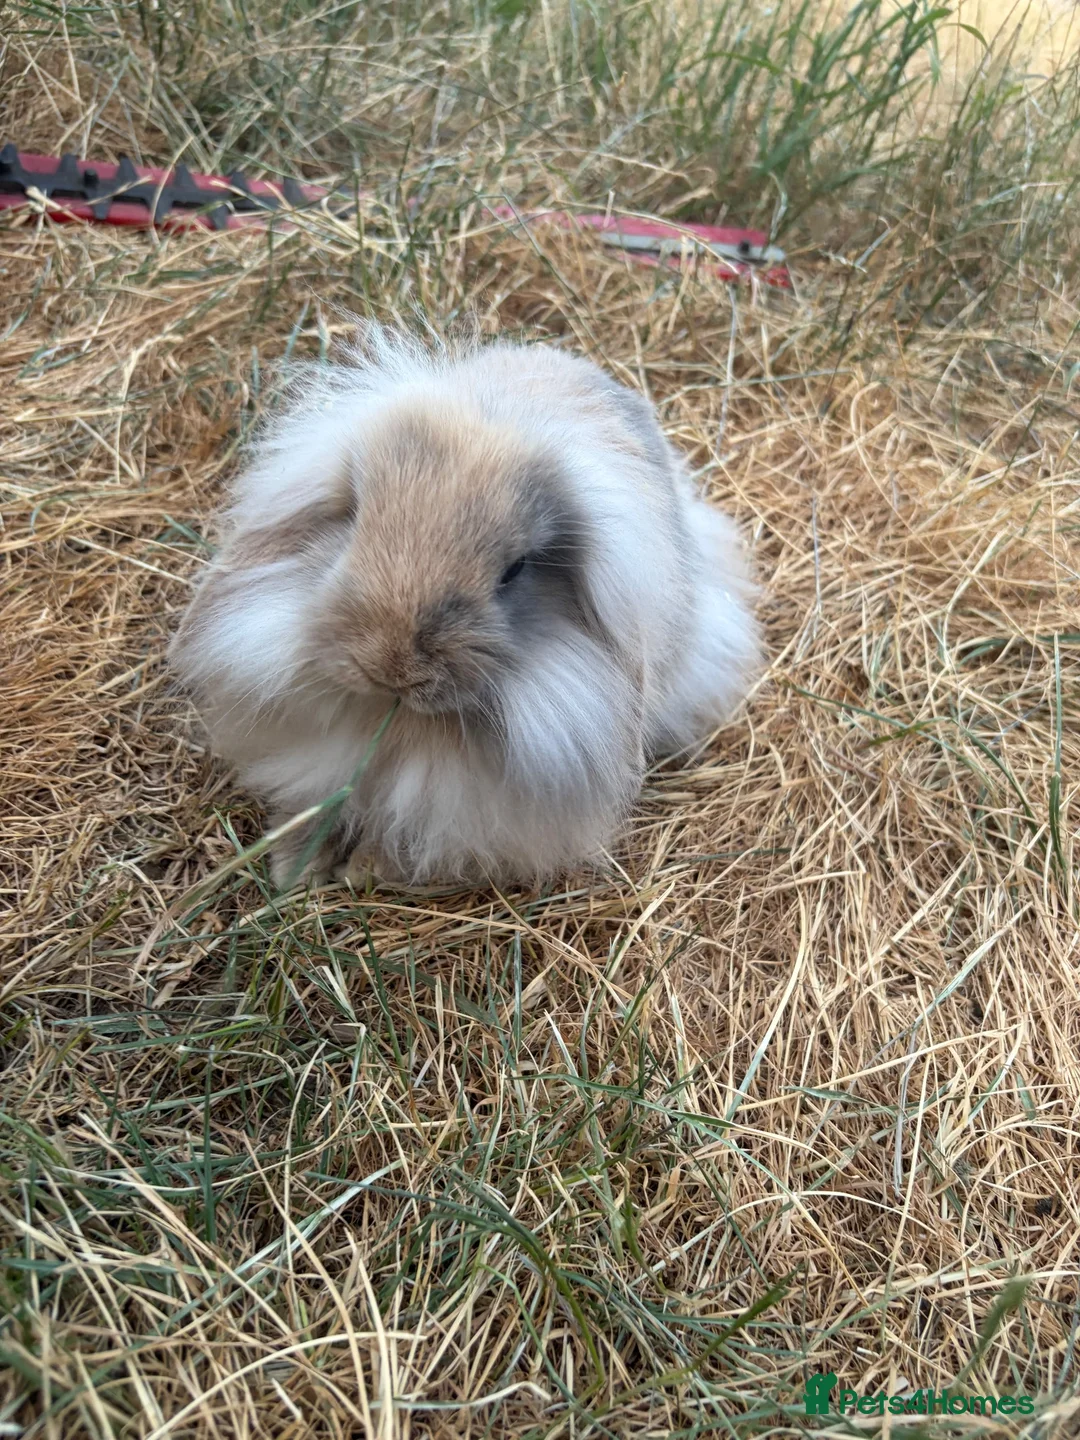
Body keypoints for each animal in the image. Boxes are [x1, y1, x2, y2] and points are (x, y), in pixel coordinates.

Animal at [170, 326, 762, 889]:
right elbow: (309, 807)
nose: (392, 669)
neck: (396, 722)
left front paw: (366, 870)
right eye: (354, 517)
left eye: (515, 570)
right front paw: (295, 870)